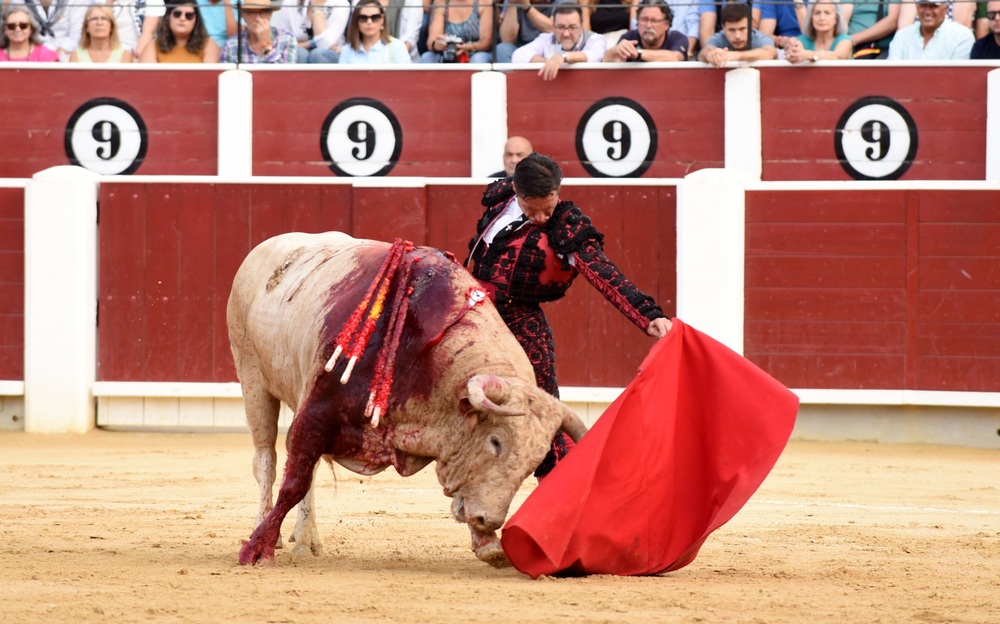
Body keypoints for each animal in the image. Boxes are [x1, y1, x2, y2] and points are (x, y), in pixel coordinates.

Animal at [227, 232, 584, 568]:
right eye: (495, 441)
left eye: (534, 462)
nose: (490, 520)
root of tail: (261, 250)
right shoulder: (316, 412)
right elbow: (294, 483)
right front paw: (257, 549)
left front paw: (489, 545)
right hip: (252, 377)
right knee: (267, 461)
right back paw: (266, 529)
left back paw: (306, 539)